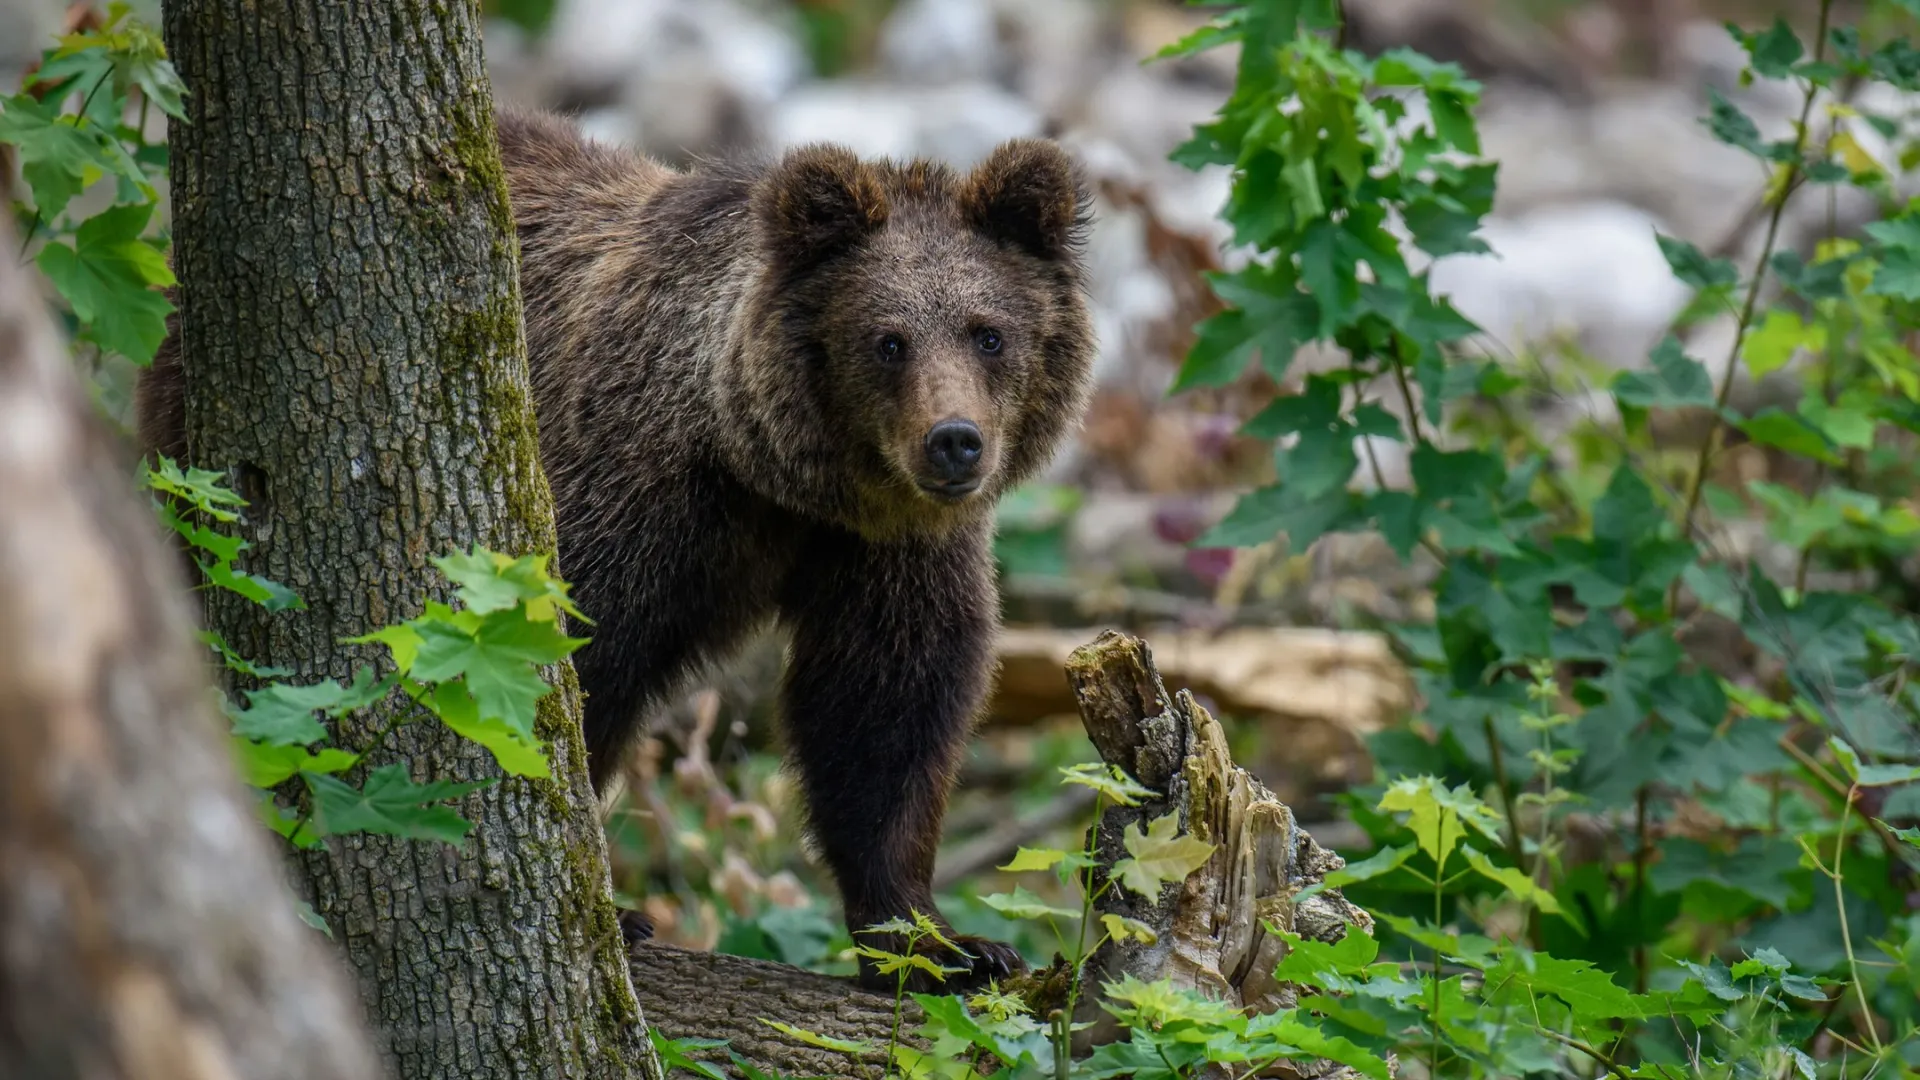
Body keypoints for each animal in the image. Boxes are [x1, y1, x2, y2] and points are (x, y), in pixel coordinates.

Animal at [135, 105, 1098, 991]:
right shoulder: (628, 500)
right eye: (887, 340)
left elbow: (885, 710)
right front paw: (613, 911)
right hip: (212, 451)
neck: (769, 475)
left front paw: (944, 944)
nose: (954, 442)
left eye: (989, 331)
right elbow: (564, 675)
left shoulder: (887, 549)